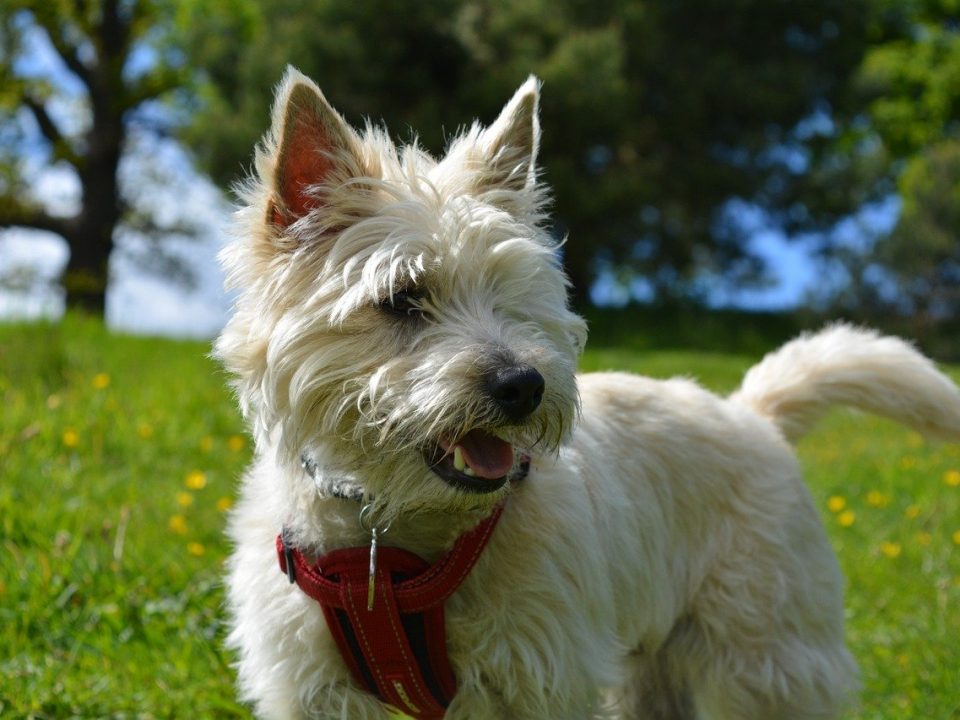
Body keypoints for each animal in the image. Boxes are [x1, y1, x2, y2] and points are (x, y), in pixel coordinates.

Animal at [214, 67, 960, 720]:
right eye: (402, 298)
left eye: (514, 295)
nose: (522, 386)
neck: (390, 544)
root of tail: (751, 414)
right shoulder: (313, 689)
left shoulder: (541, 674)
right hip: (658, 667)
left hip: (767, 651)